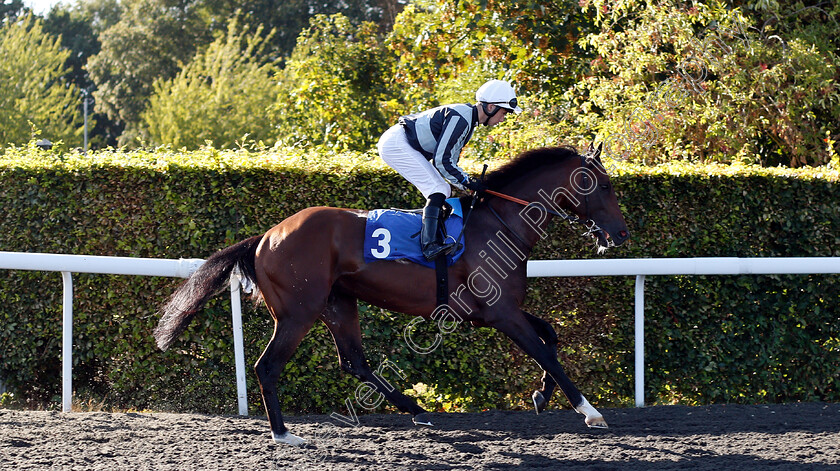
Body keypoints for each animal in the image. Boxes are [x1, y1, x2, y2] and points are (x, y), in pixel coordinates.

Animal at [156, 144, 632, 446]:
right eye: (605, 186)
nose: (621, 234)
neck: (501, 222)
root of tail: (266, 237)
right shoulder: (501, 313)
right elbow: (546, 350)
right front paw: (589, 411)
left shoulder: (501, 310)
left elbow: (550, 335)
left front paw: (541, 396)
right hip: (298, 313)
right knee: (268, 366)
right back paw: (284, 433)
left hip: (339, 304)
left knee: (354, 362)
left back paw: (415, 408)